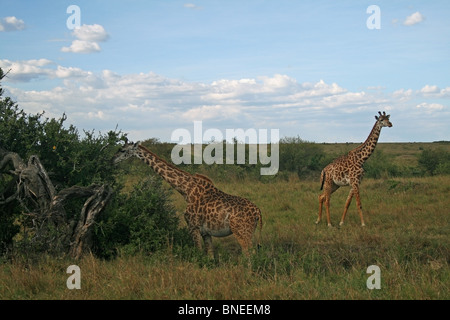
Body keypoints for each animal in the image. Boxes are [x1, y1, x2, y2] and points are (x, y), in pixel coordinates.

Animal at [110, 141, 262, 256]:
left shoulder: (192, 227)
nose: (112, 160)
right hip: (250, 232)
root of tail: (258, 213)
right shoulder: (205, 232)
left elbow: (199, 253)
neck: (186, 190)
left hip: (242, 232)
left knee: (250, 254)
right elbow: (210, 255)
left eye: (123, 150)